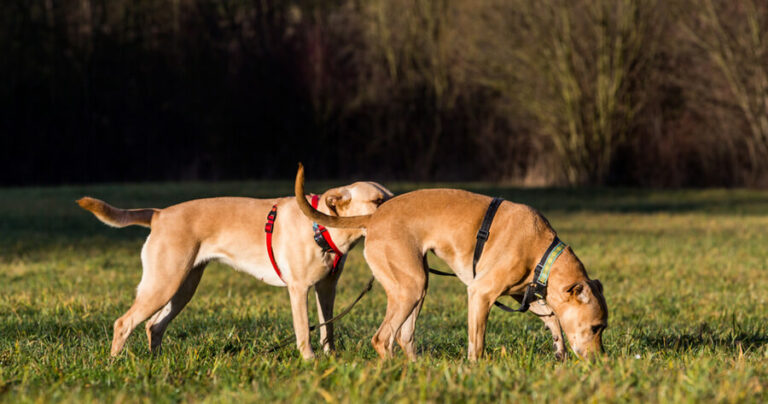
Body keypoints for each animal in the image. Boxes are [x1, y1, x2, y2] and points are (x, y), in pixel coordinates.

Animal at [76, 181, 392, 358]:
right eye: (378, 201)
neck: (322, 225)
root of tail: (160, 214)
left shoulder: (326, 289)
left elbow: (329, 328)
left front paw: (332, 359)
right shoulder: (299, 289)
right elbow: (304, 330)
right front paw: (309, 361)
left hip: (182, 287)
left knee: (153, 326)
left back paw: (155, 365)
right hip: (163, 284)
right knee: (123, 323)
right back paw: (115, 365)